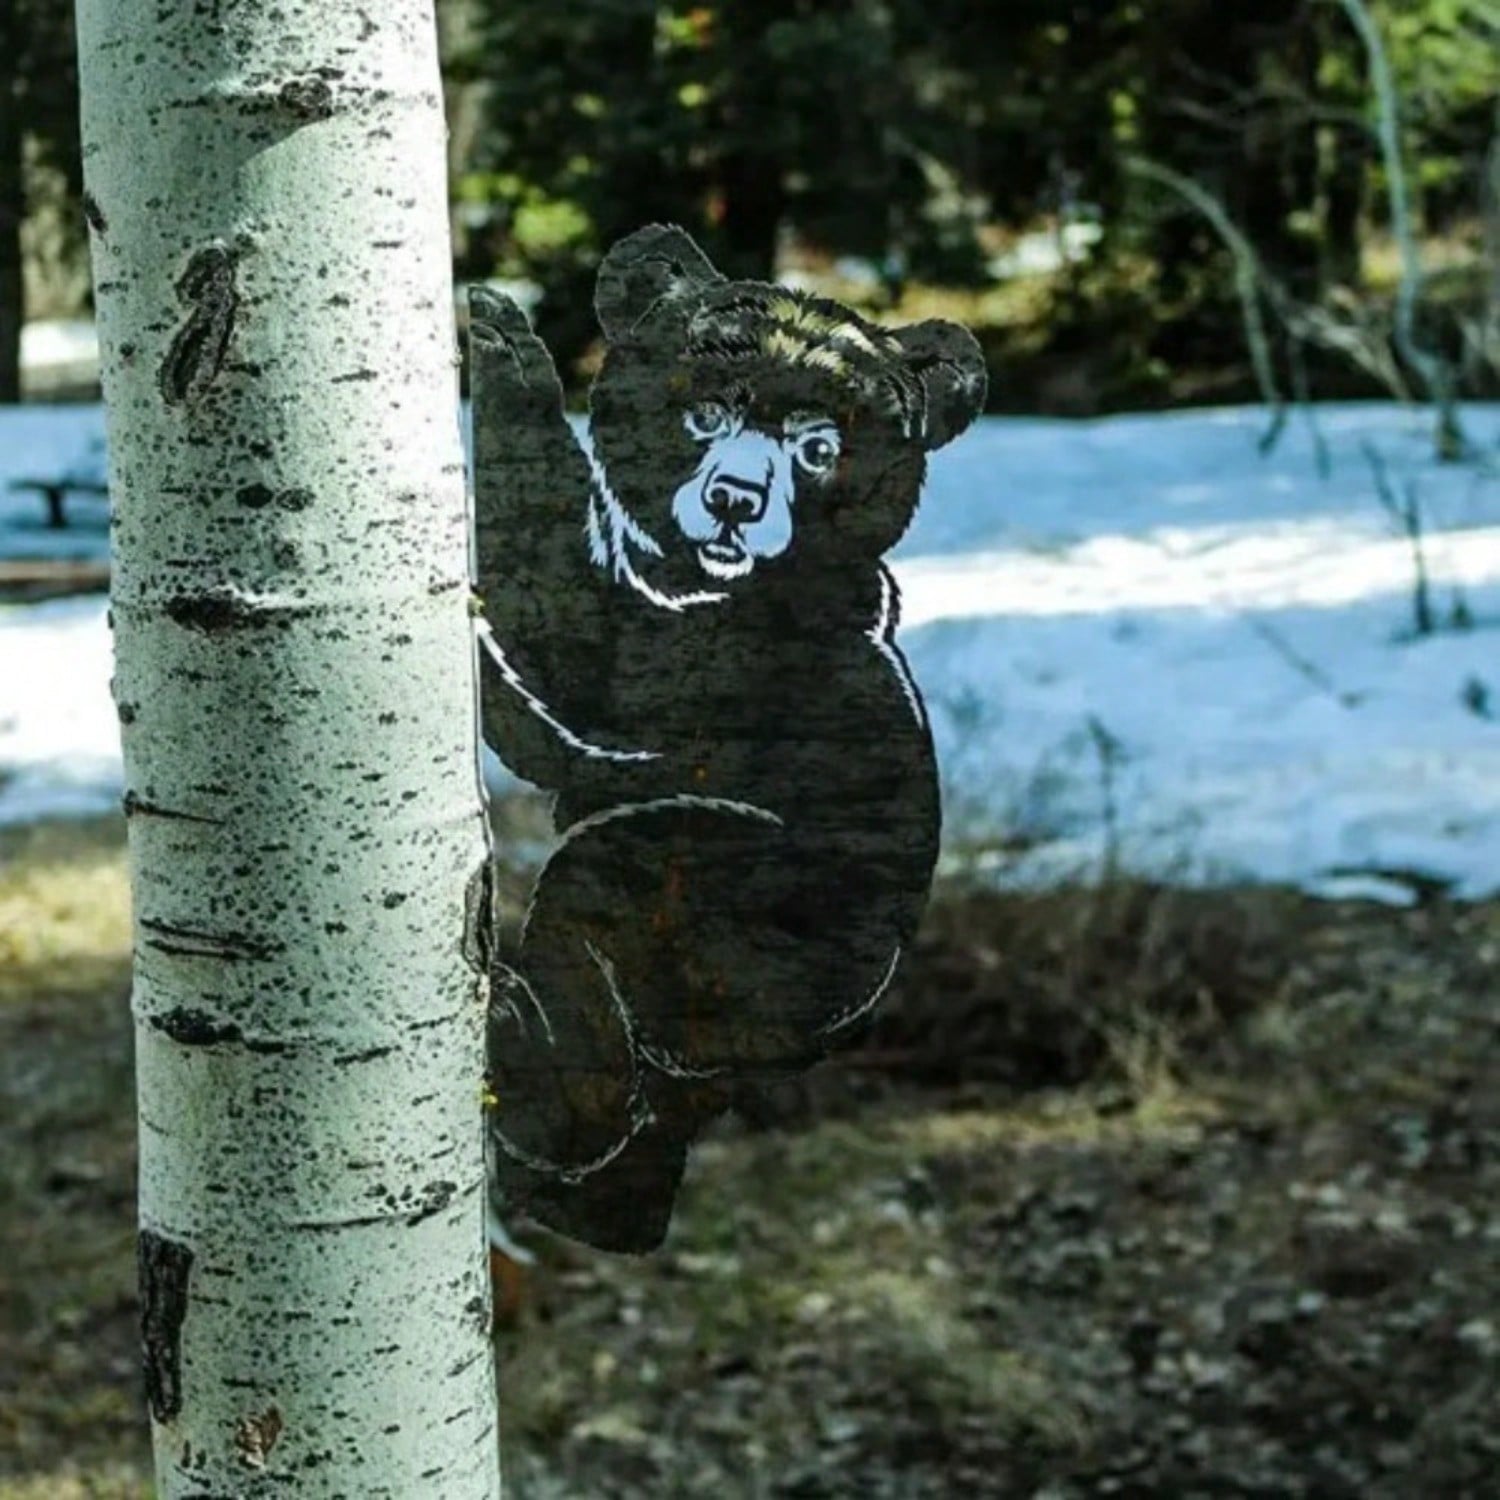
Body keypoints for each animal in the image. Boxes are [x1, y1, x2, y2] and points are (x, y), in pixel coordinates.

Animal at [471, 224, 986, 1253]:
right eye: (705, 412)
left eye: (820, 447)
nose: (737, 501)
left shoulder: (718, 667)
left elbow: (574, 664)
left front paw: (503, 339)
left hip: (738, 908)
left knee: (605, 925)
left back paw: (514, 1027)